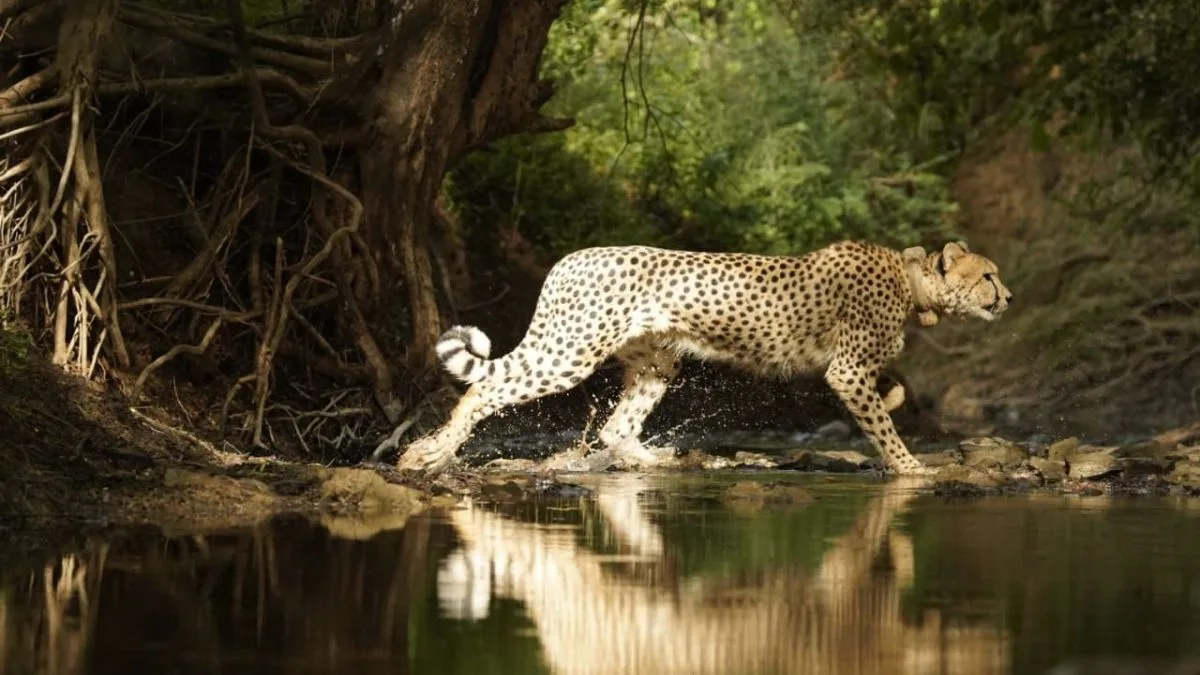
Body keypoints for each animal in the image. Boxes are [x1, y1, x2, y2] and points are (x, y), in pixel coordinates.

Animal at [395, 240, 1012, 475]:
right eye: (988, 275)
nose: (1007, 297)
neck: (913, 285)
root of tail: (571, 258)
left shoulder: (855, 370)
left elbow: (890, 398)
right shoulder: (846, 370)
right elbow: (882, 426)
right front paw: (911, 467)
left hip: (656, 362)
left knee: (617, 427)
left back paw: (658, 460)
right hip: (571, 350)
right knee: (484, 388)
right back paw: (430, 453)